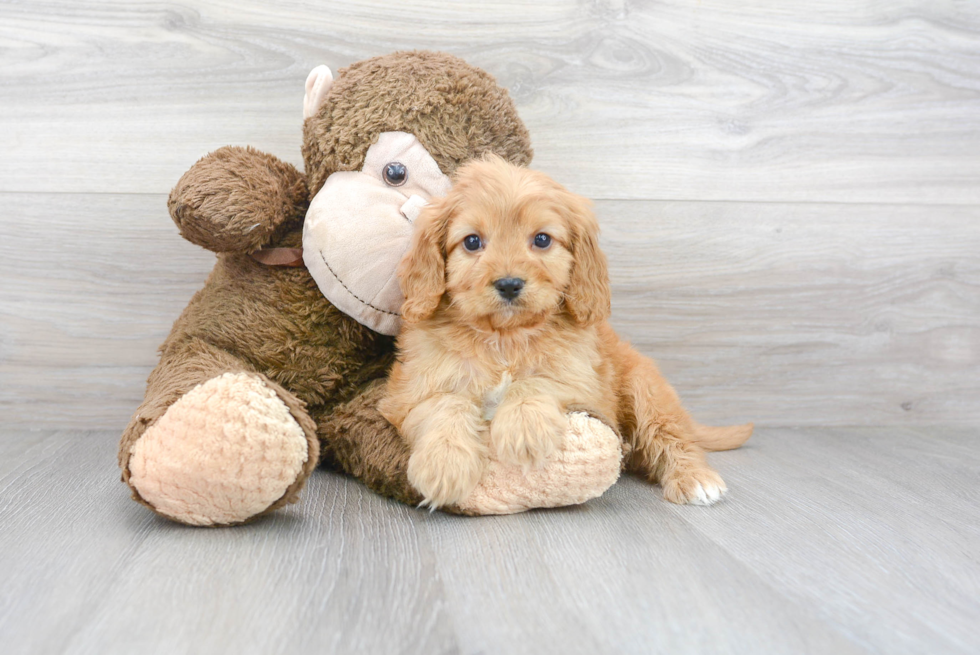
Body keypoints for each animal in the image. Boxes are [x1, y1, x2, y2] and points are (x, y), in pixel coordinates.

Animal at [380, 156, 752, 510]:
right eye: (472, 242)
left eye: (542, 239)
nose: (509, 284)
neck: (505, 339)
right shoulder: (407, 394)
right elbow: (447, 403)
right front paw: (444, 463)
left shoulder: (585, 387)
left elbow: (536, 381)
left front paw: (525, 427)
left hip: (645, 389)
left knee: (672, 436)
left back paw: (694, 478)